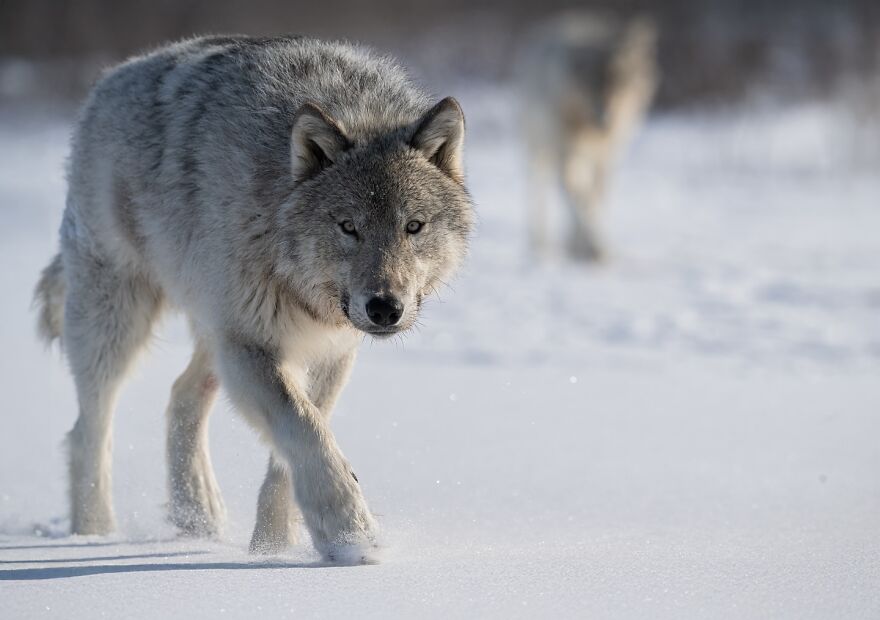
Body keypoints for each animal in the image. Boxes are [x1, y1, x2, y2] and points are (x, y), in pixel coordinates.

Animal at [33, 35, 473, 562]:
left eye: (414, 226)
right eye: (348, 227)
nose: (385, 308)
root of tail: (108, 79)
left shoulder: (327, 351)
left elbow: (299, 441)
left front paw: (271, 550)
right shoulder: (252, 343)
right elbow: (305, 432)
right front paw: (351, 535)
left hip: (212, 330)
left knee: (182, 395)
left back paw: (197, 519)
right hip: (119, 320)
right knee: (89, 430)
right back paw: (93, 535)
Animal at [517, 12, 657, 262]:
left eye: (619, 84)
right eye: (589, 86)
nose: (606, 120)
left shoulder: (607, 158)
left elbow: (594, 198)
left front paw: (583, 247)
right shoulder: (564, 154)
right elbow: (577, 198)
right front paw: (593, 248)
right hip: (538, 150)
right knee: (538, 189)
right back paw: (539, 244)